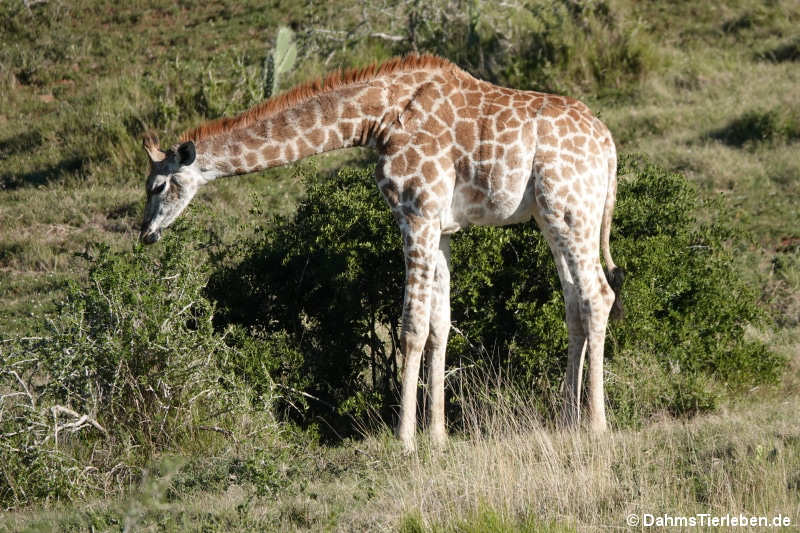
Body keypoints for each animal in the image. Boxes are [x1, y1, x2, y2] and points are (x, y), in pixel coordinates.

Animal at [139, 54, 624, 452]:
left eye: (158, 186)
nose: (145, 234)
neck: (377, 121)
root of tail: (608, 144)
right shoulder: (441, 227)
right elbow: (440, 325)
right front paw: (438, 436)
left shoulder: (416, 213)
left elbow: (410, 326)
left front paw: (405, 439)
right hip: (551, 217)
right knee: (574, 303)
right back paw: (566, 420)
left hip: (570, 210)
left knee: (599, 296)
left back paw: (596, 425)